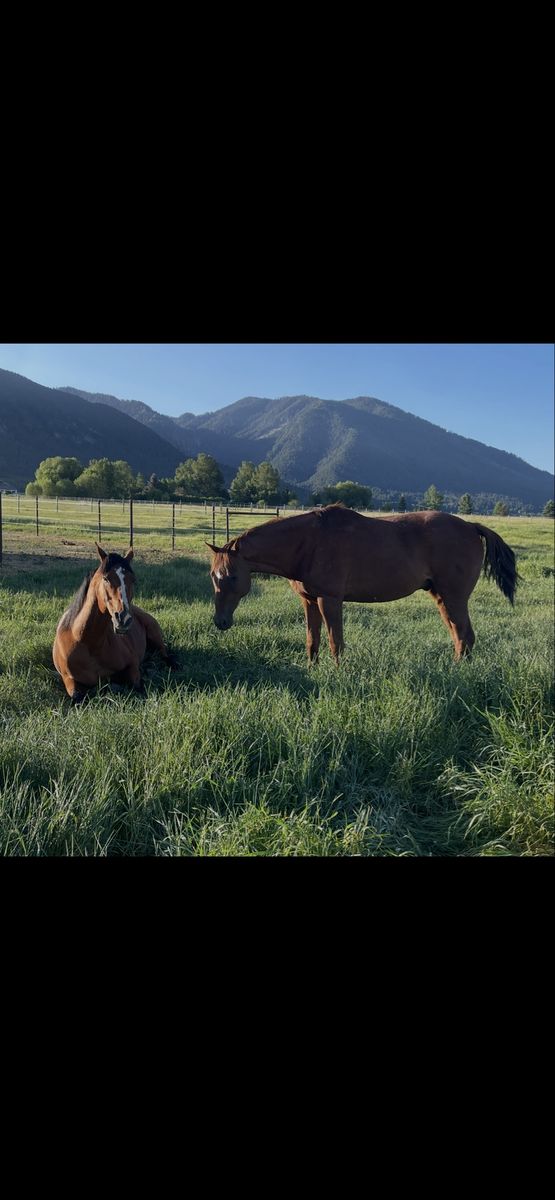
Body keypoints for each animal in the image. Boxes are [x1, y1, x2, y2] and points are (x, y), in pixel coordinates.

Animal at [52, 543, 177, 703]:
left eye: (133, 580)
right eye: (106, 579)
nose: (123, 618)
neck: (86, 642)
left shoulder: (132, 664)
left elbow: (137, 686)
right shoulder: (68, 679)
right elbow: (76, 696)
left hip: (155, 634)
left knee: (164, 653)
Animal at [207, 504, 519, 662]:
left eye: (232, 576)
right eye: (213, 576)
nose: (220, 622)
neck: (308, 543)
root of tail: (471, 526)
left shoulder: (329, 600)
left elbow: (336, 643)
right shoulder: (309, 601)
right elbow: (312, 641)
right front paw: (311, 669)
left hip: (454, 598)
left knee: (464, 637)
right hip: (441, 597)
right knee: (460, 637)